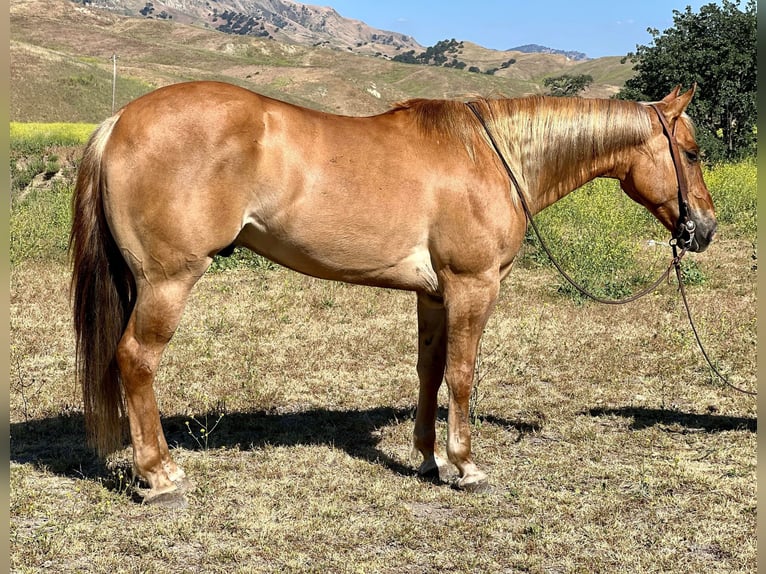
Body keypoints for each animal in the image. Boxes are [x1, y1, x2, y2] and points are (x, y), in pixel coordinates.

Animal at [69, 82, 716, 508]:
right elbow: (461, 374)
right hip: (168, 281)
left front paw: (428, 458)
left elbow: (429, 372)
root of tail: (119, 120)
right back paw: (160, 477)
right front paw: (465, 466)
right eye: (691, 152)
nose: (704, 229)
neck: (490, 155)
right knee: (136, 360)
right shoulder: (472, 286)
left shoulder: (433, 295)